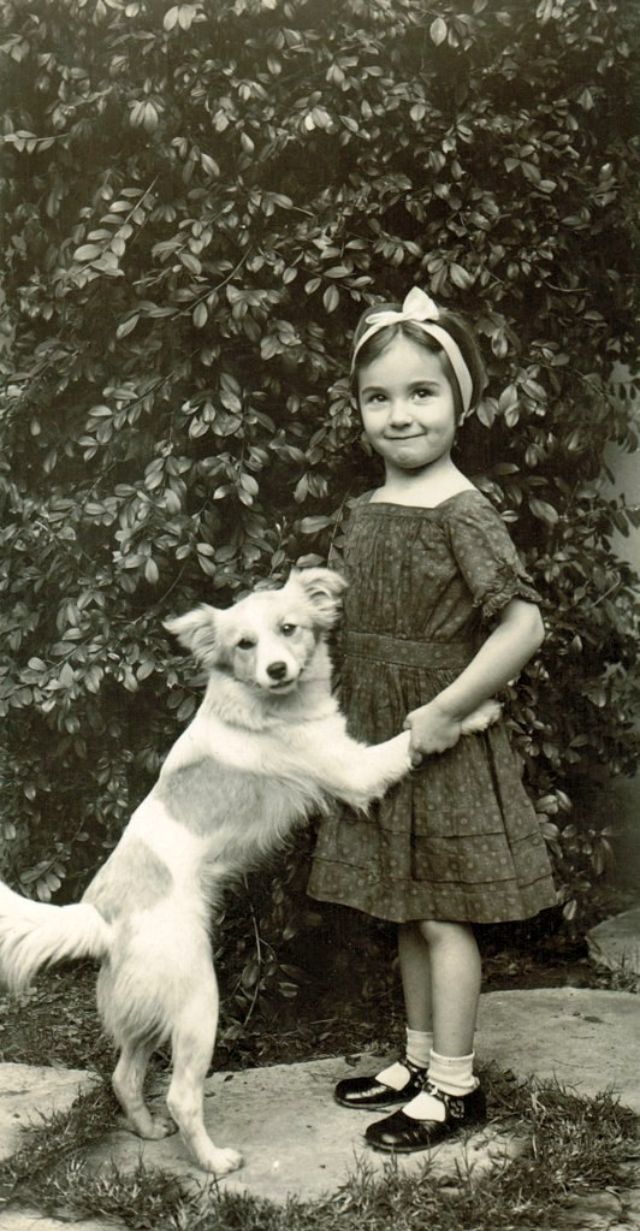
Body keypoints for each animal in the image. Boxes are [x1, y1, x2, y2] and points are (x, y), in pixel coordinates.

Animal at [0, 567, 499, 1176]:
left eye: (289, 629)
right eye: (244, 644)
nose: (277, 669)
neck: (263, 703)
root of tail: (100, 912)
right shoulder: (354, 772)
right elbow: (408, 741)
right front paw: (471, 712)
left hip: (151, 1008)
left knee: (123, 1075)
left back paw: (147, 1130)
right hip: (198, 1003)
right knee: (180, 1093)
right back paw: (214, 1161)